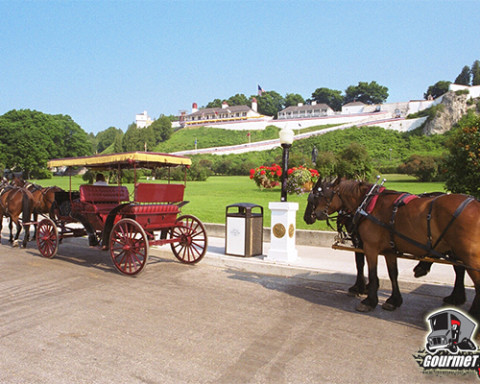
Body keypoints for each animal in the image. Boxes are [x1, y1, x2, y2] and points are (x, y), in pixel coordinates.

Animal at [304, 178, 480, 320]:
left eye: (319, 196)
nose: (310, 216)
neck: (367, 205)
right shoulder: (389, 250)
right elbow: (393, 273)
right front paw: (394, 300)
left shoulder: (369, 246)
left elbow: (369, 270)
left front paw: (368, 299)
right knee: (460, 270)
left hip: (468, 256)